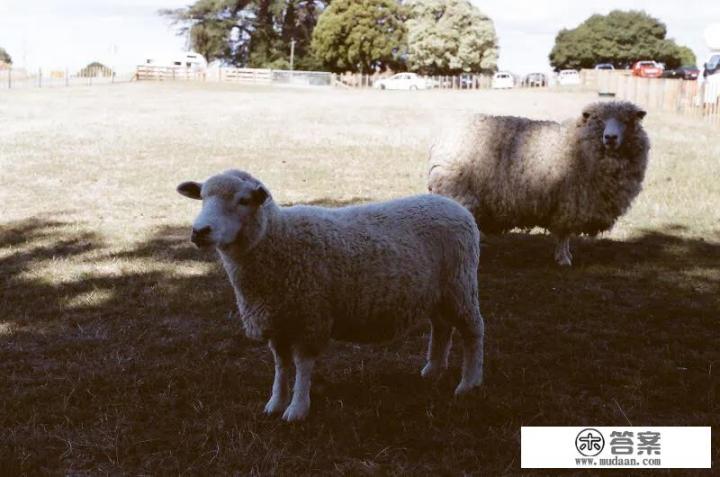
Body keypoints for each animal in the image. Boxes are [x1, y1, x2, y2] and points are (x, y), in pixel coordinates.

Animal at [177, 170, 486, 420]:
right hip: (439, 291)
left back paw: (469, 383)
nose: (199, 231)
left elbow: (302, 366)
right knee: (441, 327)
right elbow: (281, 366)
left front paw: (297, 409)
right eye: (202, 197)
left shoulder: (309, 317)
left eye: (243, 200)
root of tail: (456, 206)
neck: (277, 240)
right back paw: (433, 369)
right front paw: (275, 402)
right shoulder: (278, 321)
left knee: (473, 330)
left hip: (460, 285)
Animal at [424, 101, 648, 264]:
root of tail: (442, 139)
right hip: (457, 193)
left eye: (626, 120)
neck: (579, 143)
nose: (610, 137)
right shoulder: (568, 202)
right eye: (599, 120)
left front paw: (565, 256)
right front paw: (564, 259)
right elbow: (563, 234)